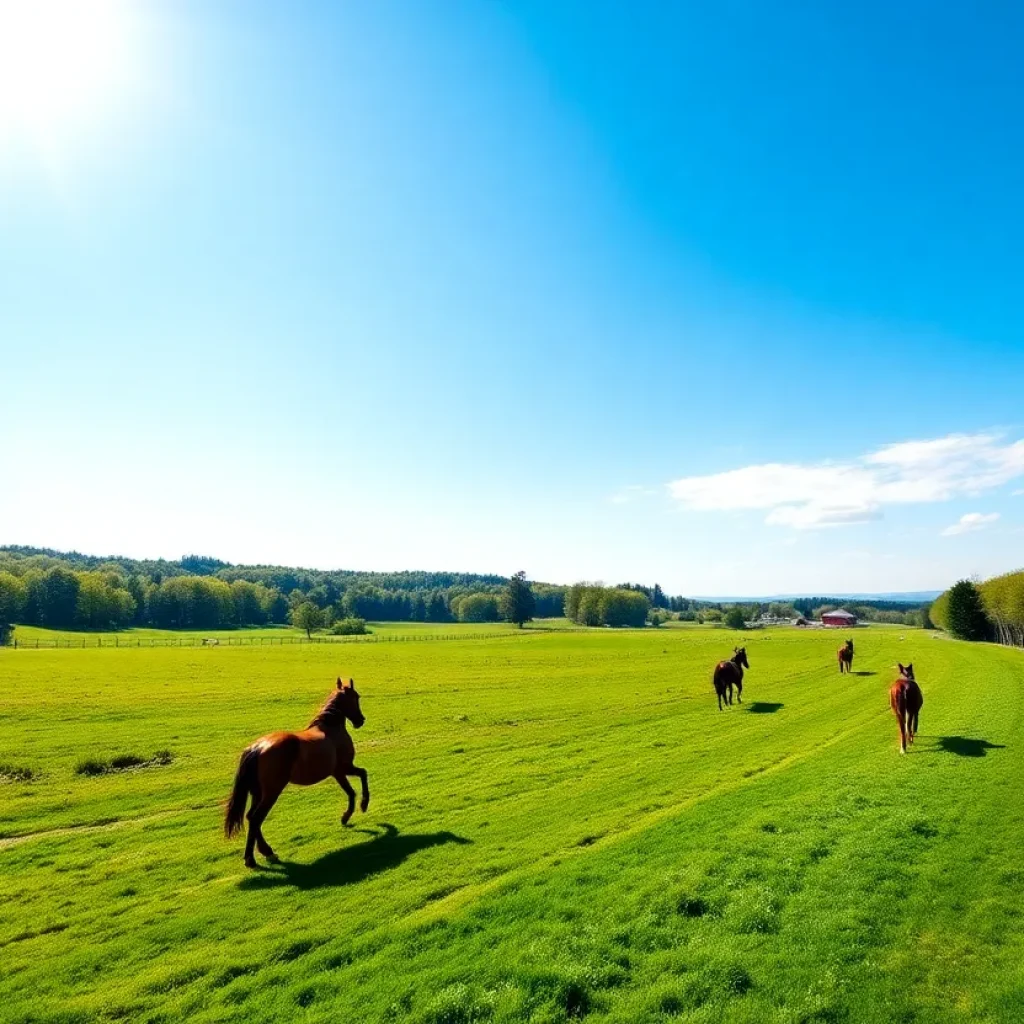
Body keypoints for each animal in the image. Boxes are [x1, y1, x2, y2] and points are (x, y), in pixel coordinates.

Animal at [224, 675, 368, 868]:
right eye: (356, 697)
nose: (360, 720)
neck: (330, 729)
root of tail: (257, 748)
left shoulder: (338, 772)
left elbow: (352, 791)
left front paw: (346, 817)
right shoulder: (343, 768)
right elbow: (362, 777)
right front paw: (361, 806)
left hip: (258, 793)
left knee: (251, 817)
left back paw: (267, 851)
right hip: (271, 792)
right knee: (256, 818)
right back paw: (251, 858)